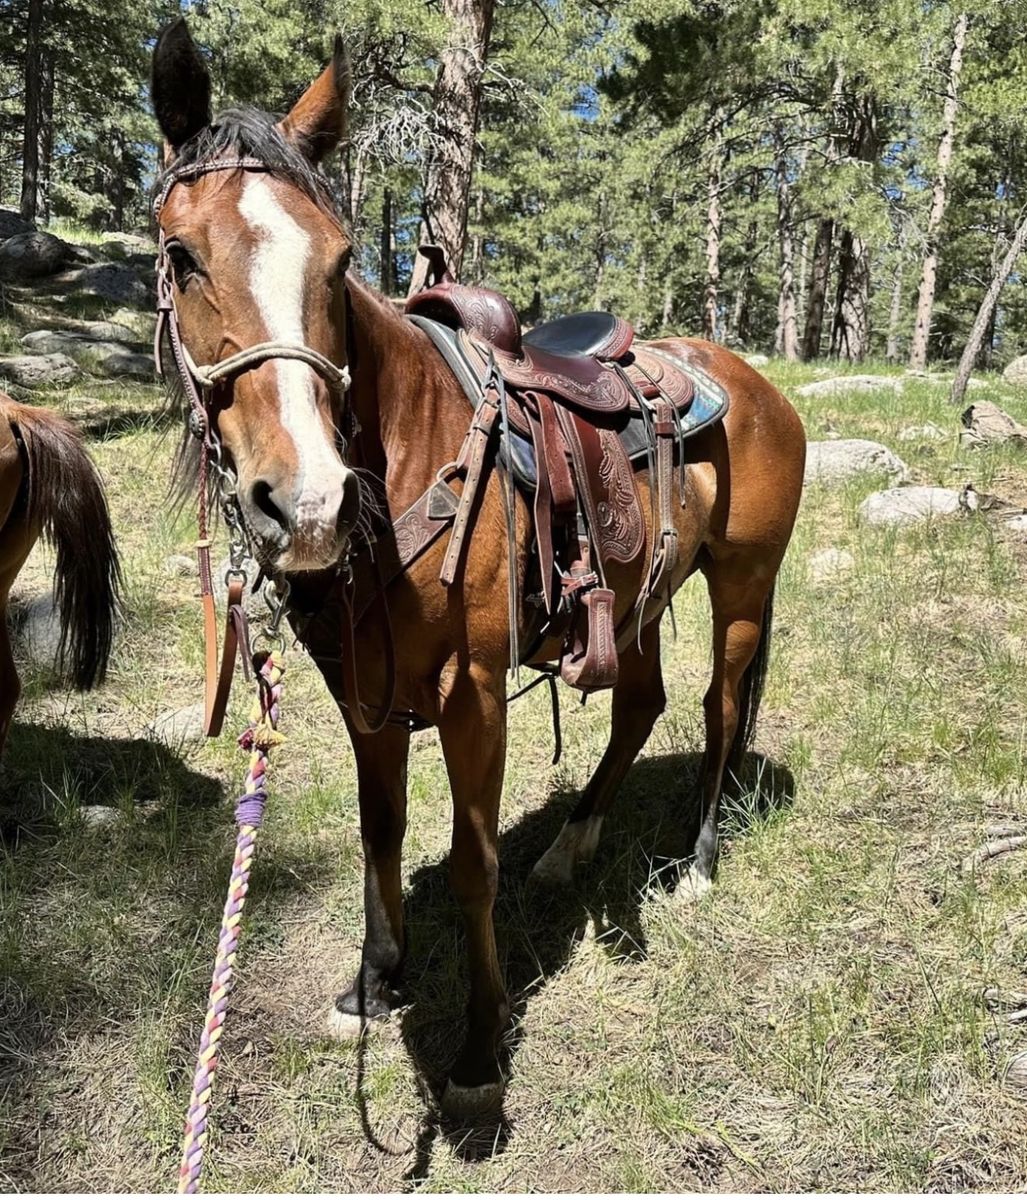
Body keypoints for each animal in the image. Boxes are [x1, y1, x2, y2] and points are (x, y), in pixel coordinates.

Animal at [150, 18, 806, 1118]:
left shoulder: (475, 693)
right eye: (179, 255)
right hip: (632, 600)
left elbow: (470, 861)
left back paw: (698, 860)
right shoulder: (364, 692)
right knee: (641, 705)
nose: (310, 501)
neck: (411, 447)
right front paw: (374, 983)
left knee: (720, 712)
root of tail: (755, 382)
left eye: (338, 262)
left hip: (743, 586)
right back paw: (574, 845)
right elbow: (380, 833)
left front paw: (477, 1047)